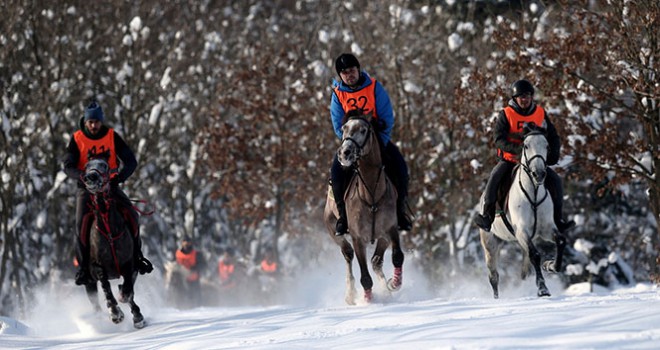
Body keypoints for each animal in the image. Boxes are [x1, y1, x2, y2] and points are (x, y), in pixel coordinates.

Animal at [80, 159, 145, 328]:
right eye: (86, 167)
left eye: (105, 165)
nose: (91, 178)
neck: (109, 231)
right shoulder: (96, 267)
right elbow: (106, 286)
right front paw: (115, 314)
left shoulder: (130, 264)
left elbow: (128, 290)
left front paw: (137, 316)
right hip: (89, 282)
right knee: (95, 301)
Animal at [324, 113, 404, 304]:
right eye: (344, 128)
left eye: (363, 130)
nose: (344, 153)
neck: (371, 194)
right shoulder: (358, 238)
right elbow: (365, 276)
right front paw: (368, 299)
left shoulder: (390, 229)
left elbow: (397, 256)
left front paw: (394, 283)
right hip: (333, 230)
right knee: (348, 254)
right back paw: (351, 294)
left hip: (382, 237)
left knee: (376, 261)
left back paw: (386, 289)